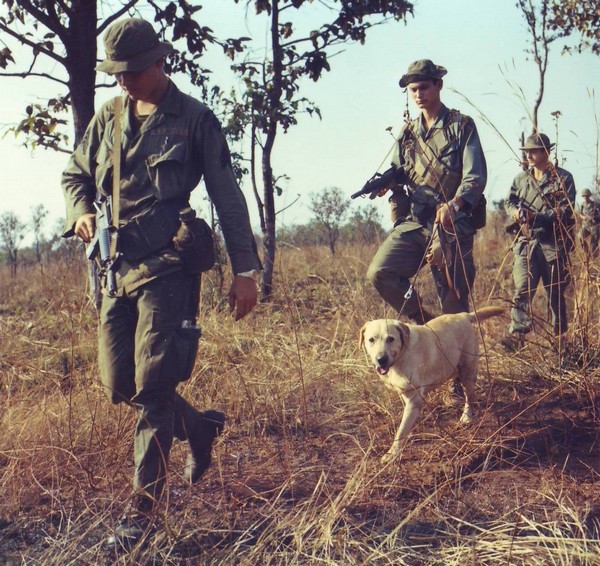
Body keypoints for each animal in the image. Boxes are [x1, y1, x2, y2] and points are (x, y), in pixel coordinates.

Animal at [360, 308, 502, 464]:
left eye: (390, 339)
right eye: (371, 340)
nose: (381, 359)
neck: (401, 356)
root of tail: (463, 315)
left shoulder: (414, 399)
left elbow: (401, 430)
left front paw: (392, 453)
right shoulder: (406, 395)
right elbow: (406, 422)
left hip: (467, 372)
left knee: (470, 397)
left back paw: (467, 416)